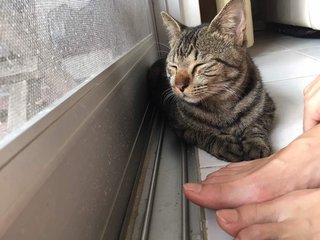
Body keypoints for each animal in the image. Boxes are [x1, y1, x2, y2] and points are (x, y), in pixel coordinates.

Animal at [148, 0, 276, 163]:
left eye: (200, 65)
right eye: (173, 66)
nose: (178, 85)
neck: (222, 102)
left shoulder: (268, 107)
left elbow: (256, 125)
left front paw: (255, 143)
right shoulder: (180, 127)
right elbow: (202, 133)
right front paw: (223, 142)